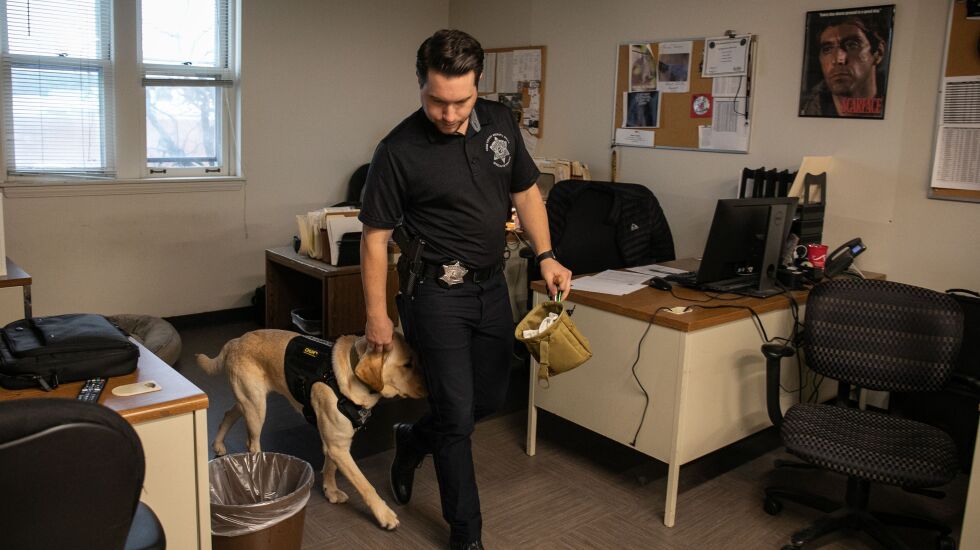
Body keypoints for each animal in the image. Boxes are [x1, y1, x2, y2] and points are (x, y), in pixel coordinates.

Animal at [196, 329, 425, 530]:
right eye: (407, 364)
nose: (429, 388)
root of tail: (235, 341)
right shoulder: (338, 446)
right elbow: (365, 485)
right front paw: (384, 514)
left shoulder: (337, 441)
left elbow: (330, 467)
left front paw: (330, 491)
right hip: (256, 407)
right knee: (251, 444)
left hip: (248, 402)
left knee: (228, 414)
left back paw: (218, 444)